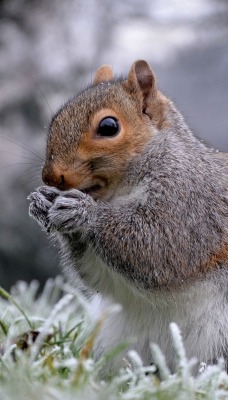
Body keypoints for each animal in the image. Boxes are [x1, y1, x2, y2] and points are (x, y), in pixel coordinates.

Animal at [28, 59, 228, 376]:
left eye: (108, 126)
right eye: (56, 119)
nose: (50, 177)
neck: (119, 192)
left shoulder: (188, 205)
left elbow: (157, 248)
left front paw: (84, 213)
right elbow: (101, 277)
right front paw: (41, 201)